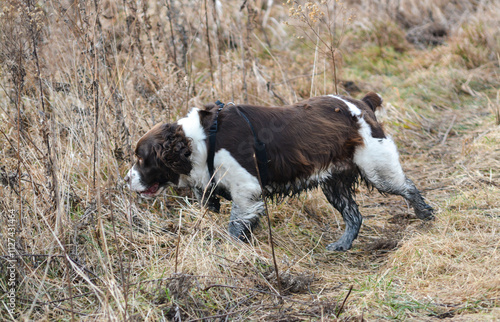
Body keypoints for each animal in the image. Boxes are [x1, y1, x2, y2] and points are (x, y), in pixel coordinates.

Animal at [125, 92, 434, 250]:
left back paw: (424, 214)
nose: (125, 181)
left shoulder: (246, 190)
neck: (200, 141)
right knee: (354, 215)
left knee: (407, 187)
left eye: (141, 158)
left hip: (377, 169)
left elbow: (235, 227)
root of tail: (362, 103)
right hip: (334, 183)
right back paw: (341, 245)